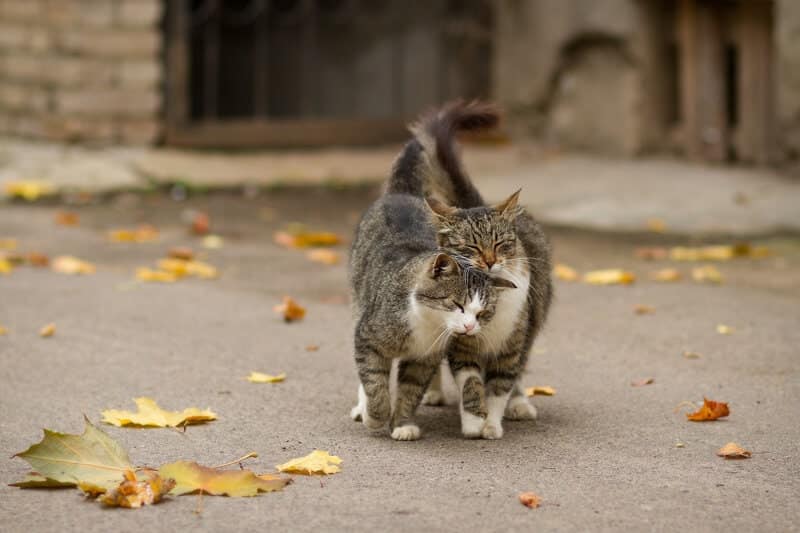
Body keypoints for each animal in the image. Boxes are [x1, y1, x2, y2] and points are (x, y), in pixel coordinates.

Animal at [346, 127, 516, 438]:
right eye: (457, 304)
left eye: (482, 313)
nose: (469, 327)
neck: (425, 324)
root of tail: (401, 193)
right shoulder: (368, 337)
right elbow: (374, 382)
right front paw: (376, 416)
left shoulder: (424, 359)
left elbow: (410, 391)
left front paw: (402, 424)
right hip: (358, 302)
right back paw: (362, 407)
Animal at [410, 100, 552, 436]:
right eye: (472, 247)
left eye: (499, 244)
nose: (489, 260)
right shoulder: (461, 347)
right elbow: (471, 384)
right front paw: (474, 420)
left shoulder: (513, 343)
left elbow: (501, 385)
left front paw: (492, 423)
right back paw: (434, 391)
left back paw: (520, 403)